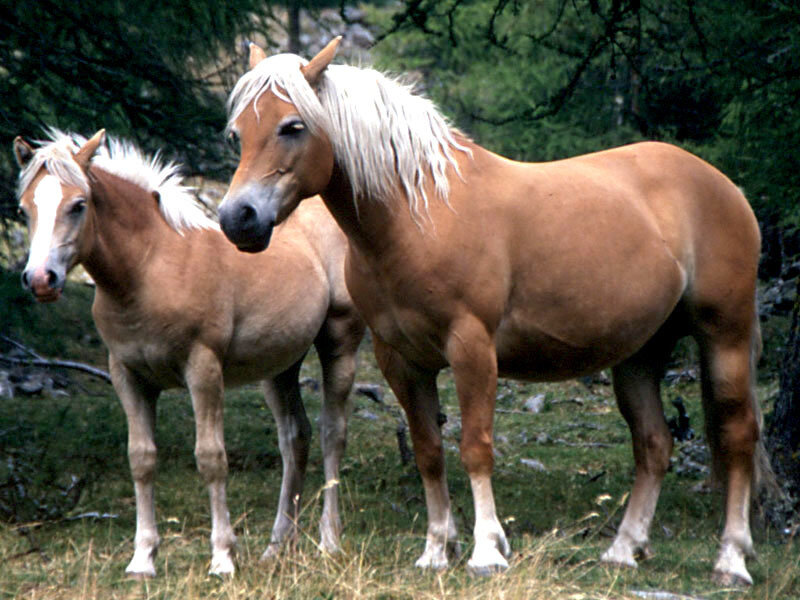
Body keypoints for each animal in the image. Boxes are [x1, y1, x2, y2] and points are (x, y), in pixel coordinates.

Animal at [13, 129, 365, 577]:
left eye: (78, 205)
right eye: (25, 208)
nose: (41, 279)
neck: (150, 268)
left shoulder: (203, 369)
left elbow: (211, 458)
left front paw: (222, 557)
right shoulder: (127, 375)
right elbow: (142, 459)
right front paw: (143, 558)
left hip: (339, 342)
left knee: (332, 434)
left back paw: (328, 541)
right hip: (280, 366)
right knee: (294, 439)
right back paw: (277, 547)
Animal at [217, 39, 769, 586]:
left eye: (293, 126)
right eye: (237, 133)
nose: (237, 218)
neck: (419, 215)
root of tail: (724, 185)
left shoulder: (472, 348)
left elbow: (476, 448)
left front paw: (486, 551)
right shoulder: (401, 360)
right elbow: (428, 451)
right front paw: (436, 549)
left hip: (725, 336)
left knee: (738, 436)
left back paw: (732, 559)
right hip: (640, 353)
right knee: (654, 443)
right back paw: (623, 549)